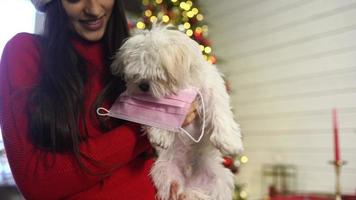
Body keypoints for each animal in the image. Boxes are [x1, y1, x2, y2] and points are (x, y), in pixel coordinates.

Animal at [112, 26, 245, 200]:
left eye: (158, 75)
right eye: (134, 75)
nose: (142, 85)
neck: (183, 86)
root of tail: (189, 181)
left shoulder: (211, 88)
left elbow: (219, 110)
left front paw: (229, 141)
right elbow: (155, 114)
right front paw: (161, 134)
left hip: (219, 179)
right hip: (164, 172)